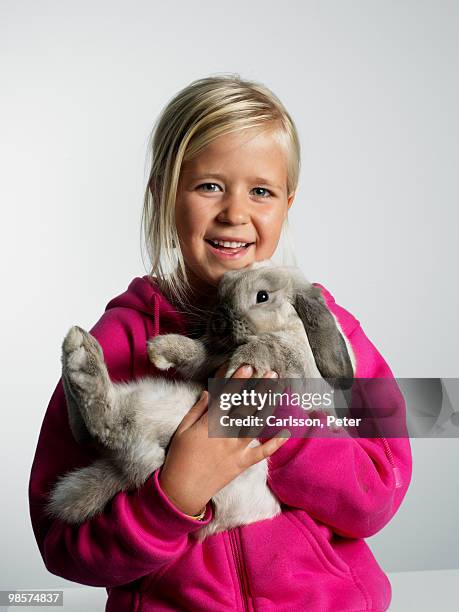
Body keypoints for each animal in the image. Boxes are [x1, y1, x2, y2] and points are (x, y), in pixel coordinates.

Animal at [45, 258, 356, 540]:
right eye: (221, 293)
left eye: (262, 296)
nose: (217, 322)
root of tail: (123, 470)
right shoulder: (209, 360)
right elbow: (197, 353)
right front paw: (160, 350)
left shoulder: (295, 366)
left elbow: (269, 345)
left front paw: (244, 366)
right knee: (91, 431)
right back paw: (78, 346)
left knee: (108, 425)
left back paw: (80, 354)